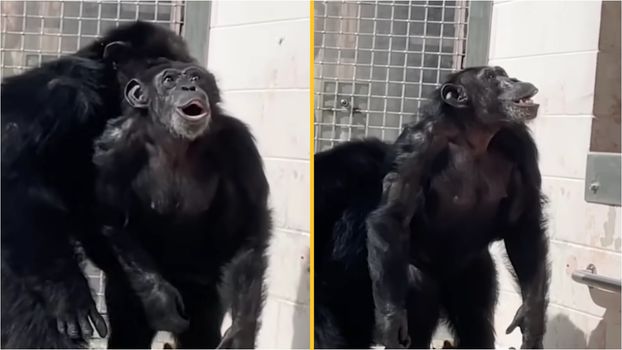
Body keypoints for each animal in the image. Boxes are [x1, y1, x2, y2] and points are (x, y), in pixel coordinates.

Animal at [0, 21, 195, 348]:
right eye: (159, 70)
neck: (105, 99)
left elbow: (103, 217)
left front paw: (157, 295)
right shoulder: (57, 96)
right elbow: (11, 175)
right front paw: (64, 290)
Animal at [92, 58, 270, 348]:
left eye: (196, 77)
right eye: (169, 80)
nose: (189, 86)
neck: (174, 140)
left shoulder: (238, 142)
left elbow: (249, 225)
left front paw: (241, 331)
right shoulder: (114, 146)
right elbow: (113, 218)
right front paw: (160, 301)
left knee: (201, 332)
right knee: (129, 334)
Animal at [316, 65, 552, 348]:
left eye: (503, 74)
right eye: (490, 77)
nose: (514, 80)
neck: (472, 136)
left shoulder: (520, 143)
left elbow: (524, 222)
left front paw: (532, 317)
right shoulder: (416, 145)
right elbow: (392, 215)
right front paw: (391, 321)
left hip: (472, 272)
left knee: (474, 317)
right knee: (418, 296)